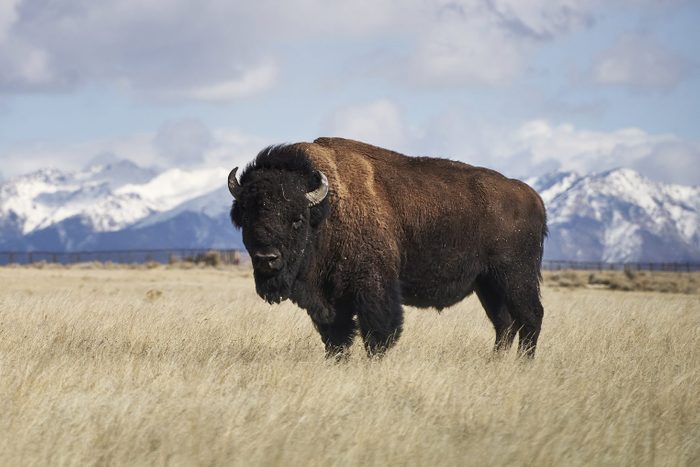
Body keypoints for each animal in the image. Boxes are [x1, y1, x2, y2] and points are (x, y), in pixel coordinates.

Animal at [229, 137, 547, 358]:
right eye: (247, 216)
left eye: (297, 219)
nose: (267, 258)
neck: (326, 209)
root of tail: (532, 196)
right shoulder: (330, 301)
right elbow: (336, 338)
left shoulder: (374, 289)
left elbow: (378, 334)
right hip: (487, 284)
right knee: (504, 323)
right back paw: (496, 361)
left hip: (515, 276)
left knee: (530, 317)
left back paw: (523, 364)